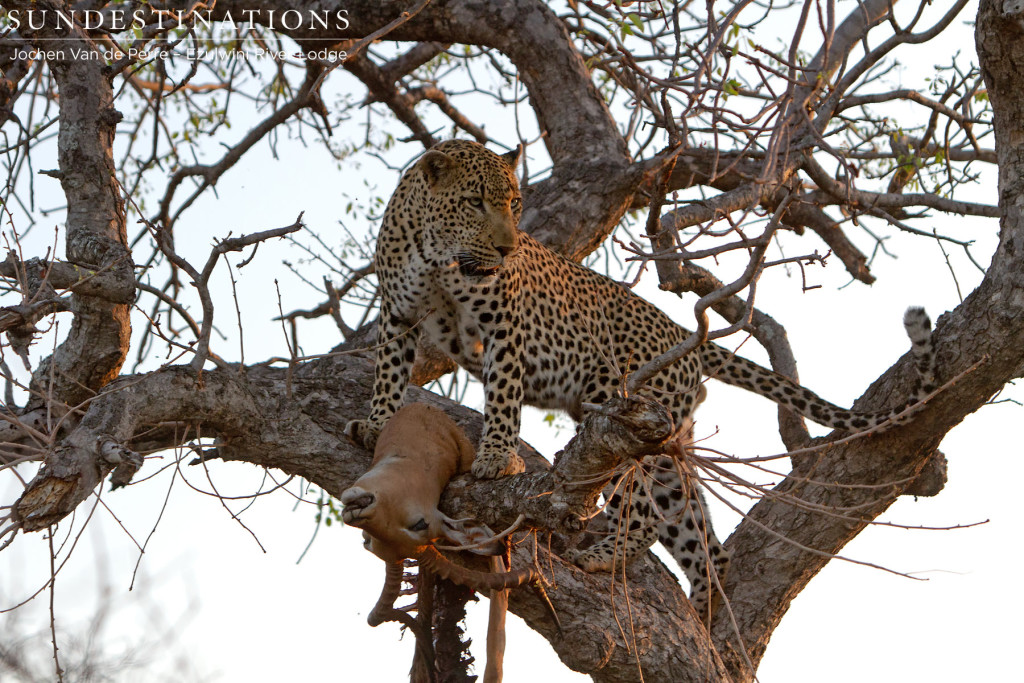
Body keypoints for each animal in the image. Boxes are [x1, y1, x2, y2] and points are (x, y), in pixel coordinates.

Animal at [344, 140, 937, 626]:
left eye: (513, 202)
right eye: (474, 202)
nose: (510, 247)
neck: (436, 255)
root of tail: (681, 330)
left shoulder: (505, 326)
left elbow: (504, 395)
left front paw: (496, 458)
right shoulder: (398, 315)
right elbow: (388, 373)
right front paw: (375, 424)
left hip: (621, 408)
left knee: (644, 506)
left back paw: (606, 554)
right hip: (661, 433)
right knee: (697, 531)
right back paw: (703, 615)